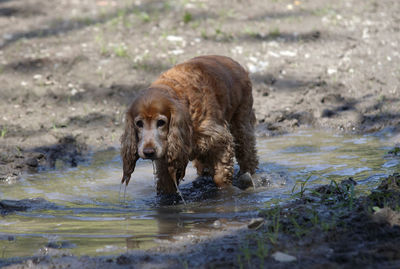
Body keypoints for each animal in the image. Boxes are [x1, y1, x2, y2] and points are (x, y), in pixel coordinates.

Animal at [122, 55, 258, 193]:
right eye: (139, 123)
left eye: (161, 122)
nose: (148, 152)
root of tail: (232, 61)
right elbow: (167, 185)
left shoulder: (219, 139)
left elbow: (221, 176)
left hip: (241, 122)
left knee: (247, 154)